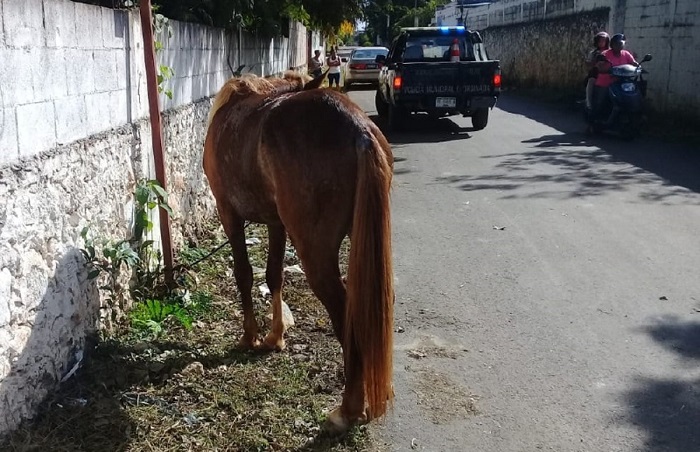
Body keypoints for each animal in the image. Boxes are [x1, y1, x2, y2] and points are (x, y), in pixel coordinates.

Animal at [202, 69, 396, 430]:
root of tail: (359, 131)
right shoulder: (276, 223)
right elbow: (274, 275)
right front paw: (274, 337)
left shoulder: (228, 213)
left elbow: (244, 274)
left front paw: (250, 336)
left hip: (315, 254)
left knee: (344, 312)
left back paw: (348, 410)